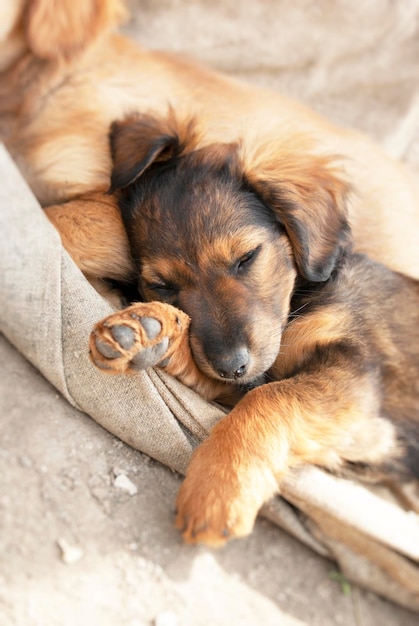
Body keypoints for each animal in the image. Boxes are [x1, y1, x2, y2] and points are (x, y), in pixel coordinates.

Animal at [90, 114, 419, 544]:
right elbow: (246, 388)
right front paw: (152, 334)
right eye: (162, 285)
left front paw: (217, 490)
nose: (232, 366)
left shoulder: (355, 373)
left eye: (247, 257)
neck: (299, 300)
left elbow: (268, 400)